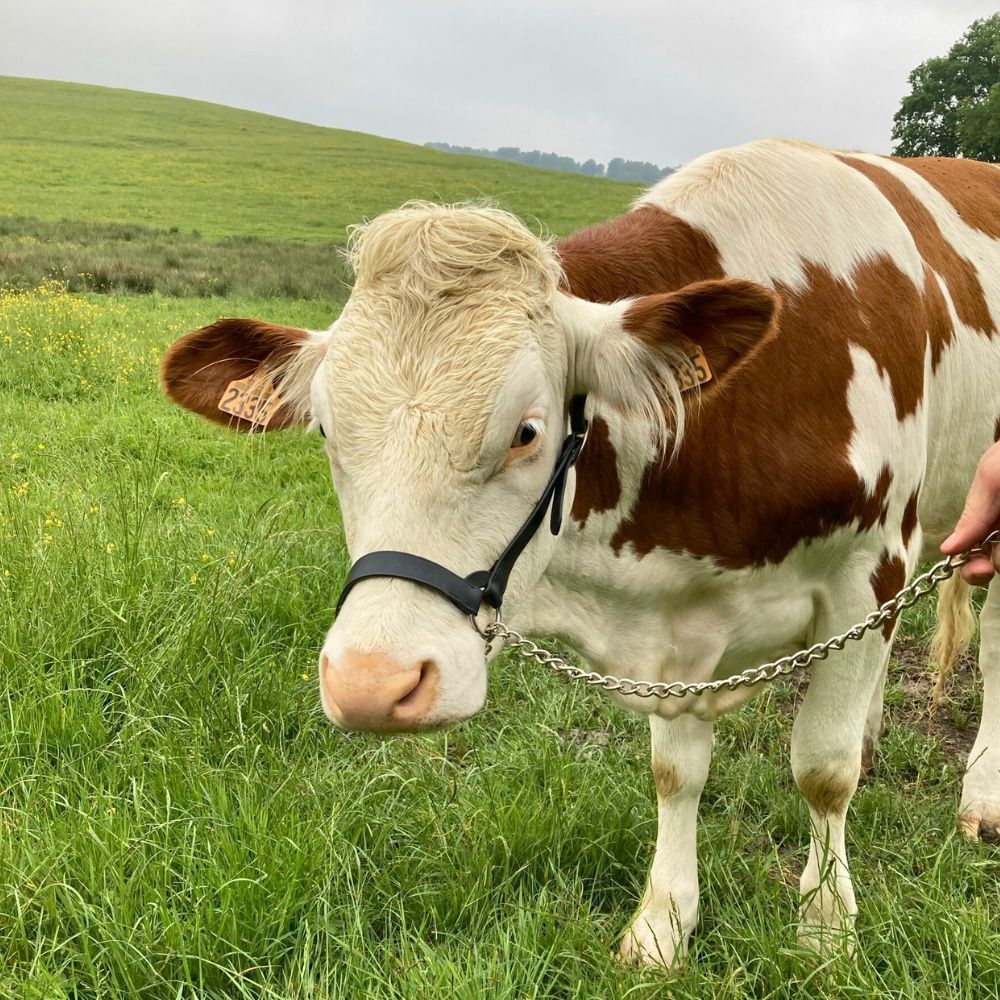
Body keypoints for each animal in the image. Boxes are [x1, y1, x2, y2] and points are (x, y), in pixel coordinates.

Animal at [160, 138, 1000, 967]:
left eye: (526, 431)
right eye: (329, 433)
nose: (372, 682)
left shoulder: (869, 569)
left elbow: (823, 772)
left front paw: (826, 928)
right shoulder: (681, 625)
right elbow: (675, 773)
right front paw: (662, 926)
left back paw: (981, 797)